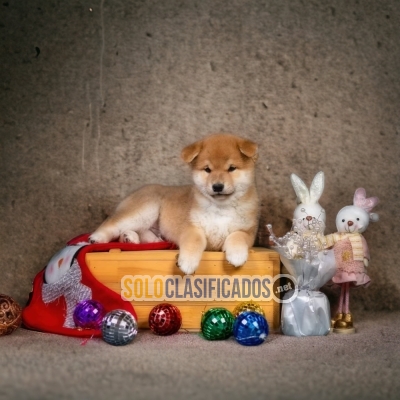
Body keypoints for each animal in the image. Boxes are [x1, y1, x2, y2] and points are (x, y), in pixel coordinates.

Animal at [89, 133, 260, 274]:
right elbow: (193, 242)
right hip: (144, 210)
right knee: (112, 224)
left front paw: (237, 254)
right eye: (207, 170)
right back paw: (97, 238)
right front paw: (188, 262)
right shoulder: (192, 226)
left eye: (232, 168)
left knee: (145, 236)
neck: (221, 209)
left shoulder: (248, 230)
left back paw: (130, 238)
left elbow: (238, 236)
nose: (217, 186)